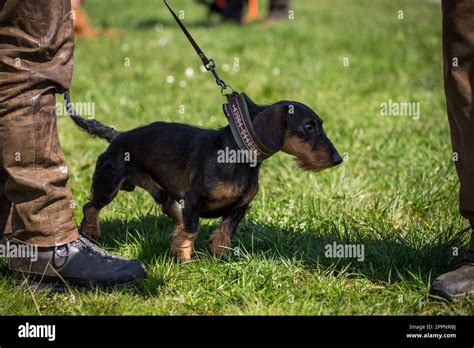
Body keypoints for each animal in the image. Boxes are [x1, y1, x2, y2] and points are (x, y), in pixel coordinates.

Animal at [70, 94, 342, 262]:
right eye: (309, 126)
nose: (338, 159)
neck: (237, 155)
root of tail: (118, 135)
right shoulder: (193, 199)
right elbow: (192, 229)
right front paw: (182, 256)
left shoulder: (241, 206)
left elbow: (225, 230)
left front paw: (221, 255)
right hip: (108, 184)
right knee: (90, 206)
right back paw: (91, 232)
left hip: (161, 192)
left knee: (171, 211)